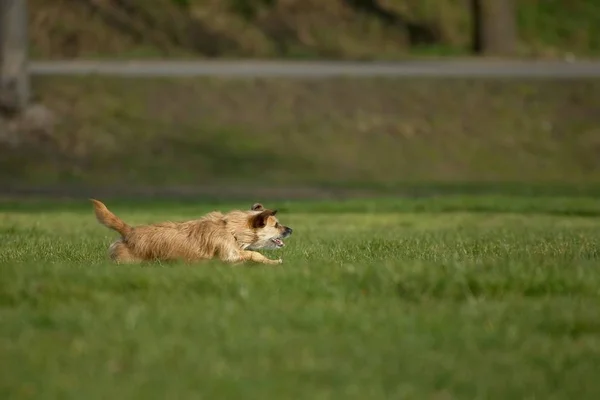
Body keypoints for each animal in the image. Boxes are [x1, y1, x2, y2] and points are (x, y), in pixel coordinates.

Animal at [89, 200, 292, 266]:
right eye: (277, 225)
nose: (291, 229)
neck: (231, 229)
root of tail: (129, 231)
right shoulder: (228, 255)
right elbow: (253, 254)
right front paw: (273, 262)